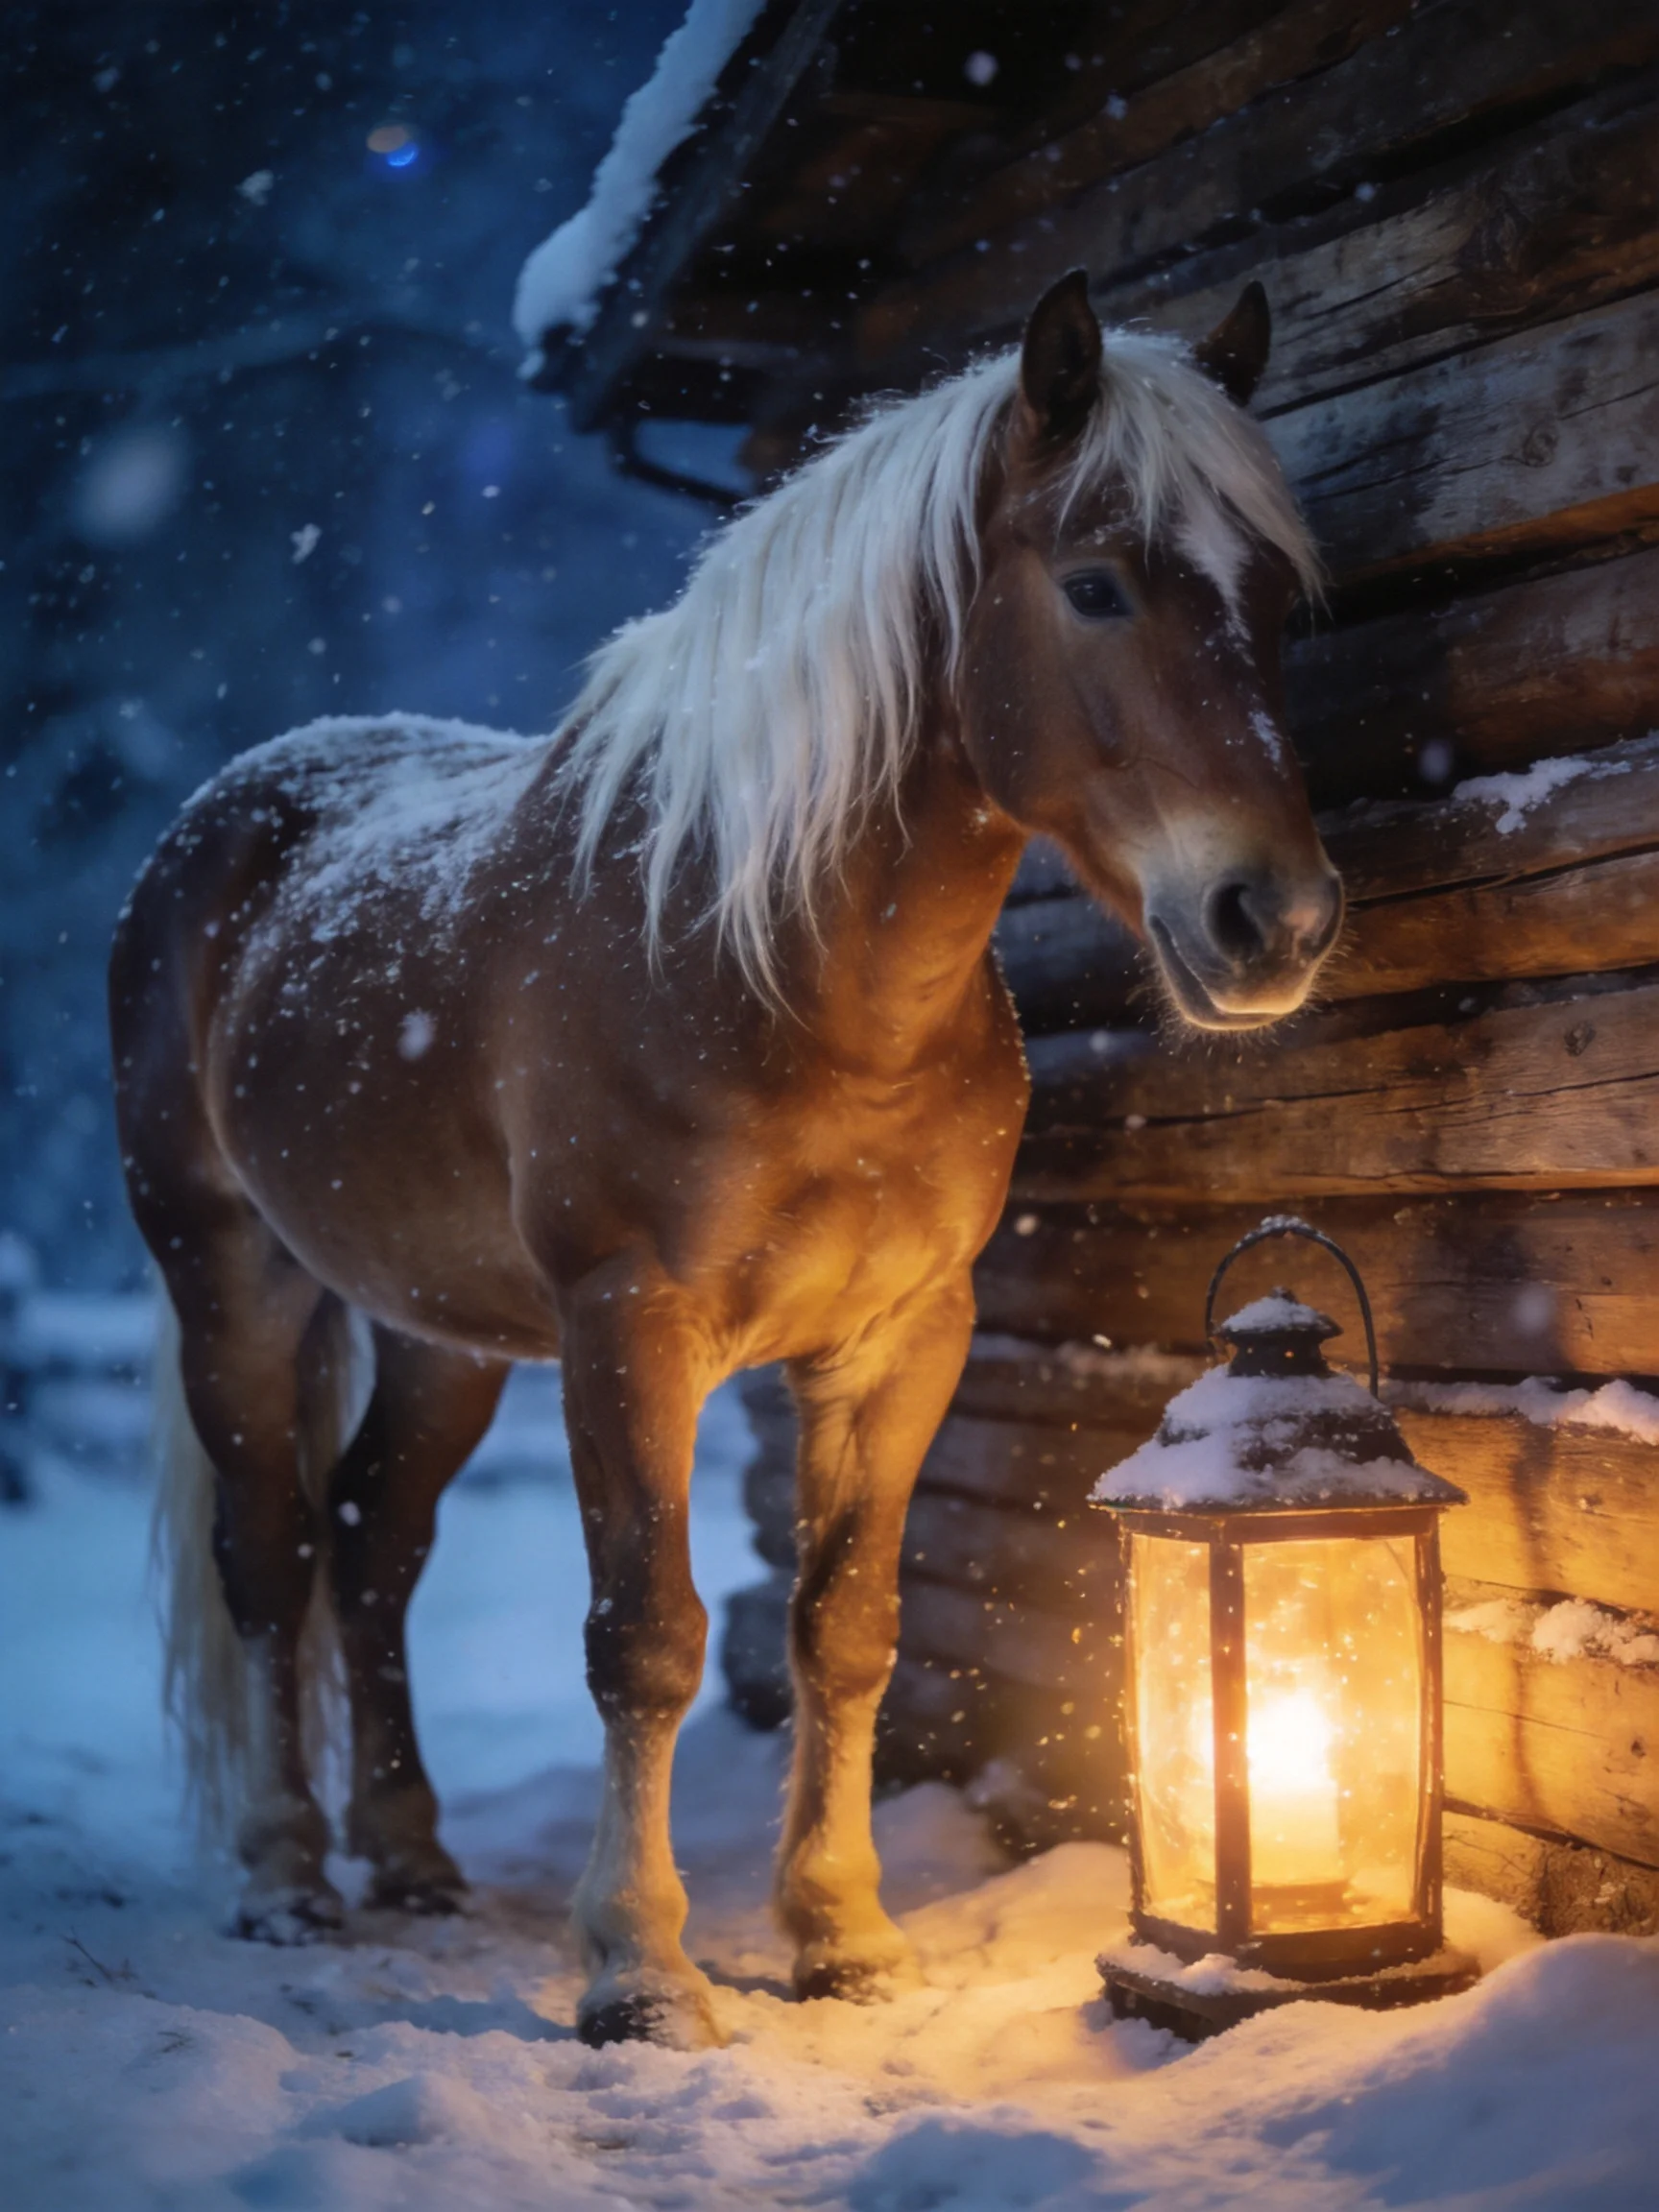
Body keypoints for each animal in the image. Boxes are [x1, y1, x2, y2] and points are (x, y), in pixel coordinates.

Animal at [110, 270, 1340, 2050]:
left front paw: (841, 1935)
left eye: (1277, 598)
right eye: (1098, 582)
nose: (1277, 922)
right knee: (269, 1554)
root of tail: (231, 814)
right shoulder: (630, 1327)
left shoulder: (900, 1338)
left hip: (438, 1330)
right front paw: (640, 1969)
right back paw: (286, 1878)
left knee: (372, 1543)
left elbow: (847, 1628)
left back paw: (408, 1858)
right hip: (232, 1276)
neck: (783, 970)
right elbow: (649, 1637)